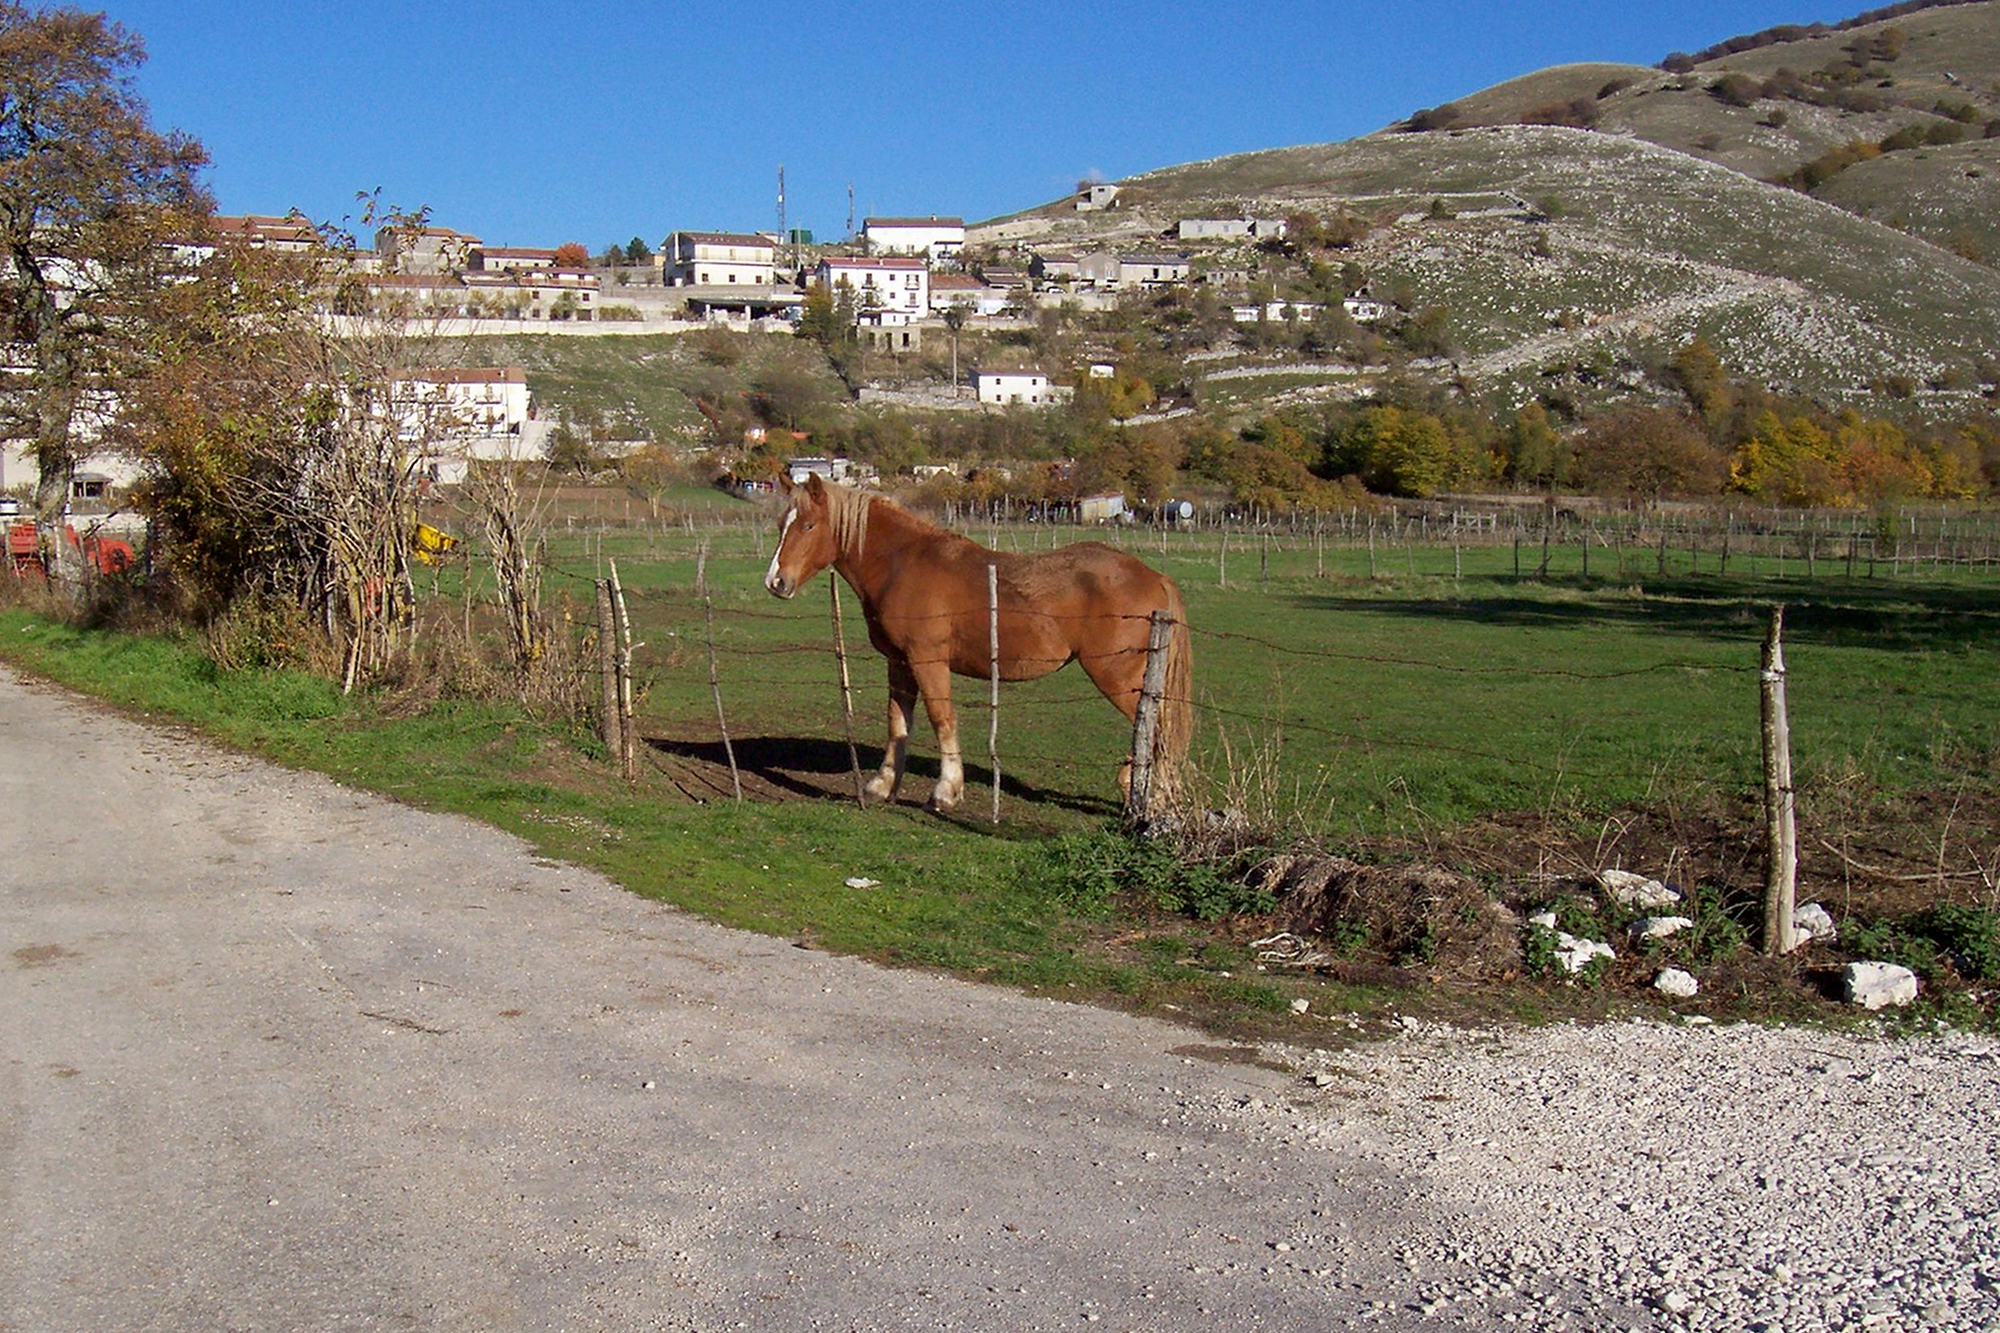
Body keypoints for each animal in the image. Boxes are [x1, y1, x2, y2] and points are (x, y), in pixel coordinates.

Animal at [756, 478, 1176, 808]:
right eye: (781, 525)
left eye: (809, 525)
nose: (775, 582)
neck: (901, 564)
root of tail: (1153, 576)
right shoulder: (899, 662)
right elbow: (898, 722)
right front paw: (881, 785)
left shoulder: (927, 661)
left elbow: (942, 719)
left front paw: (946, 791)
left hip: (1119, 678)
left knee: (1156, 729)